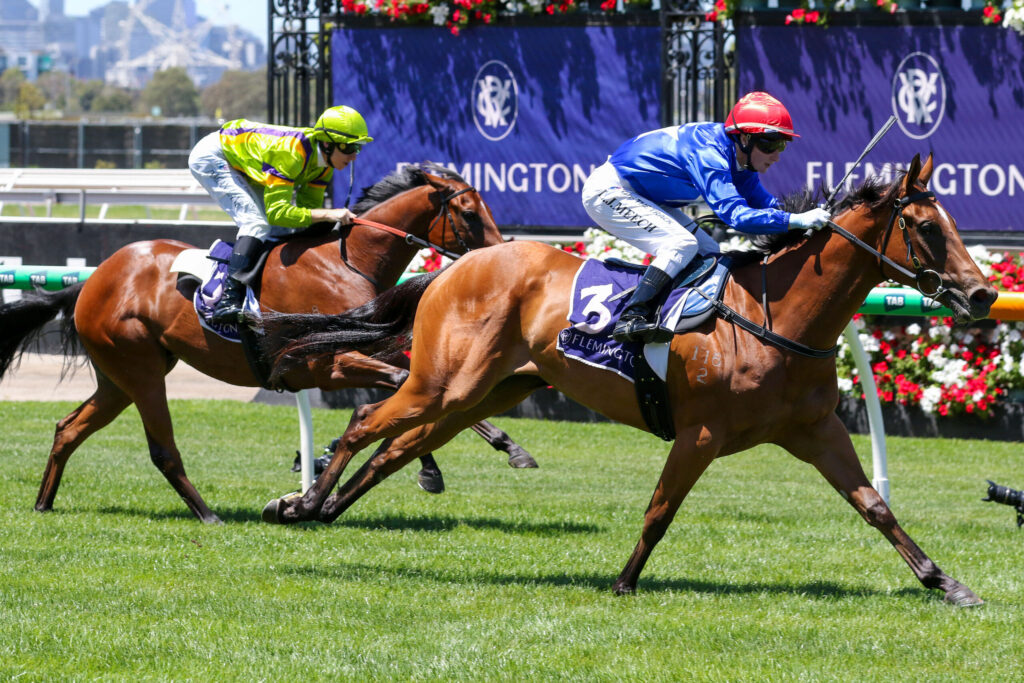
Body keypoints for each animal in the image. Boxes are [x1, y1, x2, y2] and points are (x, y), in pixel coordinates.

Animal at [0, 163, 535, 524]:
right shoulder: (326, 363)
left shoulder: (361, 349)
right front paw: (439, 464)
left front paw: (494, 449)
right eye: (467, 210)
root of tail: (89, 282)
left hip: (120, 376)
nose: (505, 255)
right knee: (162, 449)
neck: (347, 263)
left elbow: (417, 389)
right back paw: (208, 514)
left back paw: (44, 503)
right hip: (141, 370)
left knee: (69, 429)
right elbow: (407, 385)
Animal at [258, 154, 995, 605]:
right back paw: (300, 501)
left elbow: (874, 505)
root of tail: (451, 267)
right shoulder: (700, 432)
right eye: (925, 227)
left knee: (395, 451)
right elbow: (660, 509)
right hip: (442, 384)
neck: (772, 316)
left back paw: (323, 507)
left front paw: (946, 581)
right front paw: (624, 581)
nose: (984, 294)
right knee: (364, 424)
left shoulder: (815, 430)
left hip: (481, 392)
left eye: (953, 223)